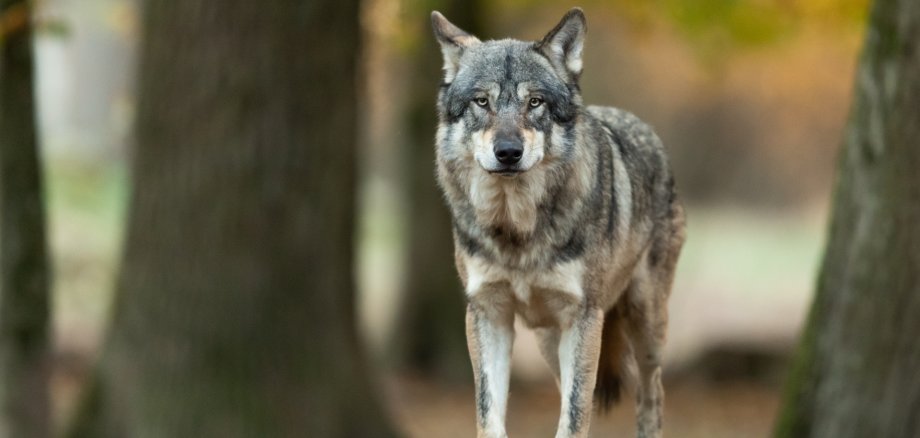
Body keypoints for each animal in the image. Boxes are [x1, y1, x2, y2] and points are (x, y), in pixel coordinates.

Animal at [430, 7, 685, 438]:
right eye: (482, 101)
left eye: (535, 102)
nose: (508, 152)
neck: (517, 230)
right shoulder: (487, 314)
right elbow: (489, 415)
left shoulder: (583, 318)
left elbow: (574, 416)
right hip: (551, 343)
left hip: (645, 327)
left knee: (652, 394)